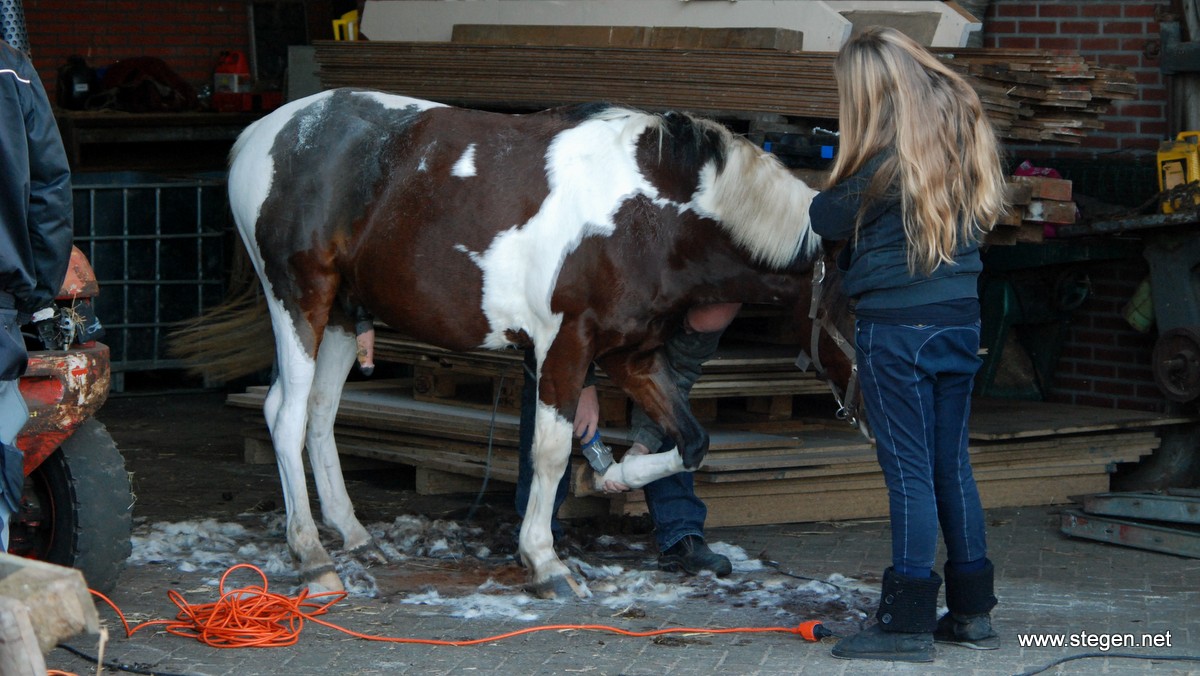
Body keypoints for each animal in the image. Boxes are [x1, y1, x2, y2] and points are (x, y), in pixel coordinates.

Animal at [220, 88, 849, 597]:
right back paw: (311, 556)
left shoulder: (633, 355)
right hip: (299, 301)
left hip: (343, 315)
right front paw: (546, 562)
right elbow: (550, 452)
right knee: (285, 415)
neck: (649, 216)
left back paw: (353, 535)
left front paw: (614, 476)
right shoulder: (566, 344)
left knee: (321, 413)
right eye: (858, 305)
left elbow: (693, 440)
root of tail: (260, 135)